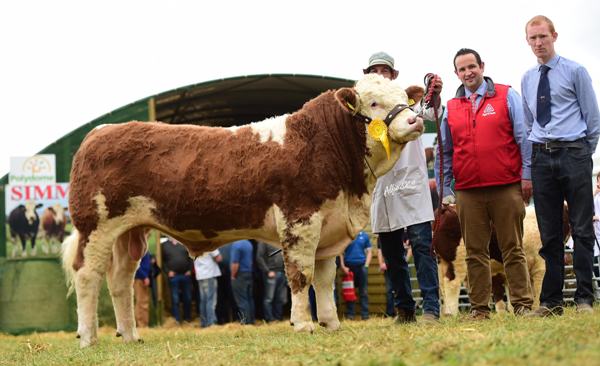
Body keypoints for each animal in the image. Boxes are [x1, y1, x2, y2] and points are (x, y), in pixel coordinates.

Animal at [63, 73, 424, 346]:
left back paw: (130, 336)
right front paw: (303, 324)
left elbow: (323, 279)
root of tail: (100, 132)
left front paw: (331, 324)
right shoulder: (300, 219)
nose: (415, 119)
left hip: (129, 233)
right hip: (95, 226)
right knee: (87, 275)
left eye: (405, 98)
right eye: (374, 102)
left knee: (120, 281)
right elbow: (301, 275)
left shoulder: (329, 224)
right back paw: (88, 338)